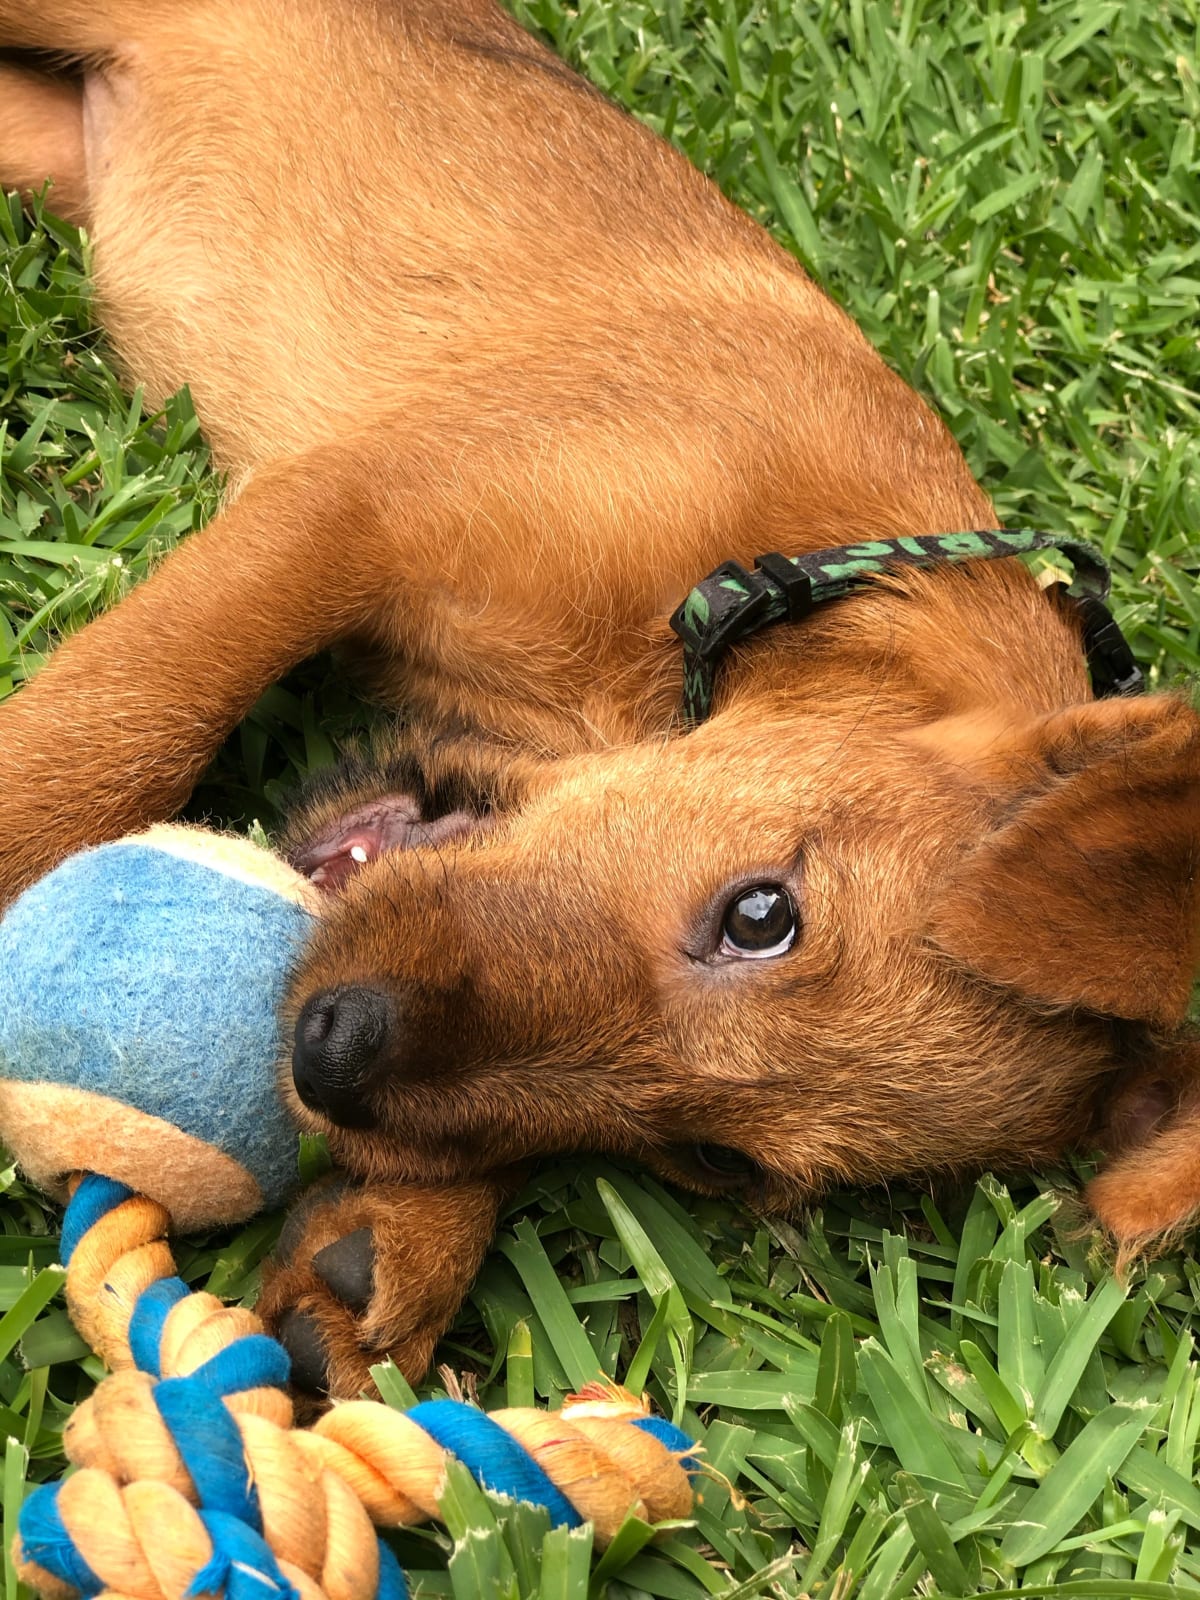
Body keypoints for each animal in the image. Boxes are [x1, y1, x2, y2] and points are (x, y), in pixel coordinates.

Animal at [0, 0, 1196, 1401]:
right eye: (761, 914)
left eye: (716, 1159)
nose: (331, 1049)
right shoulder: (350, 512)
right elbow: (125, 719)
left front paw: (388, 1245)